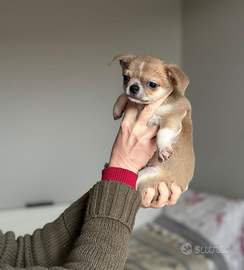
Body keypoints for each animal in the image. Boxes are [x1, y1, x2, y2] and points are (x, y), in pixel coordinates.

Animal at [110, 54, 194, 200]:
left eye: (152, 84)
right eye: (126, 77)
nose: (133, 87)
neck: (144, 105)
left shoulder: (172, 117)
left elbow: (163, 132)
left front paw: (163, 149)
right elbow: (124, 96)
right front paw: (117, 108)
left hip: (146, 176)